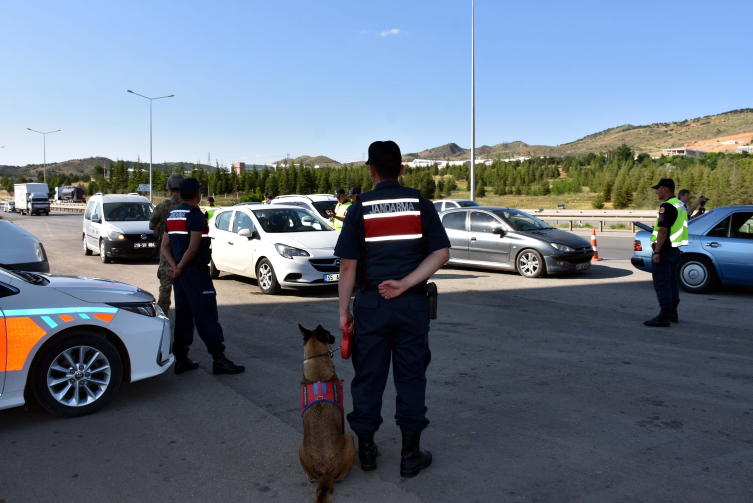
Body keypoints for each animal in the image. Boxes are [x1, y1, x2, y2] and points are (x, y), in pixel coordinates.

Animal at [296, 326, 356, 503]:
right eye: (329, 334)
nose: (337, 335)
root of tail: (325, 473)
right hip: (349, 438)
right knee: (340, 477)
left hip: (301, 445)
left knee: (311, 477)